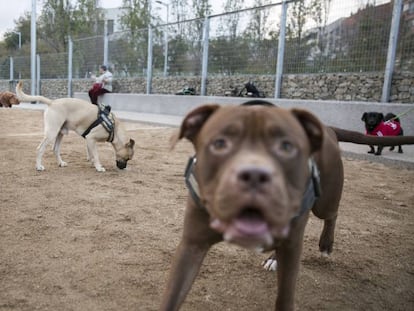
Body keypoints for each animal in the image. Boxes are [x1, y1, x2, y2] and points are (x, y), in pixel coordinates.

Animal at [160, 101, 414, 310]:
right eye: (220, 143)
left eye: (286, 147)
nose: (254, 175)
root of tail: (327, 128)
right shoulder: (192, 245)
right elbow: (171, 297)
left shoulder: (292, 248)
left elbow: (284, 297)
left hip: (325, 199)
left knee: (332, 214)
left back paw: (325, 245)